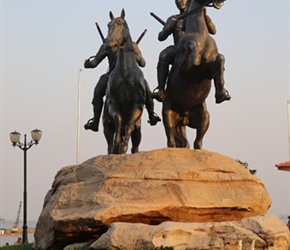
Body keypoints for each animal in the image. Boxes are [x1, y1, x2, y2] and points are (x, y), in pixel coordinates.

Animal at [103, 9, 146, 154]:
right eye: (108, 25)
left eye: (121, 24)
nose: (109, 43)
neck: (125, 72)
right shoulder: (113, 104)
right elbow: (119, 118)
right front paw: (117, 144)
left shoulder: (137, 106)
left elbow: (129, 125)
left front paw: (123, 148)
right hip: (106, 126)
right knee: (109, 142)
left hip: (138, 132)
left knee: (135, 144)